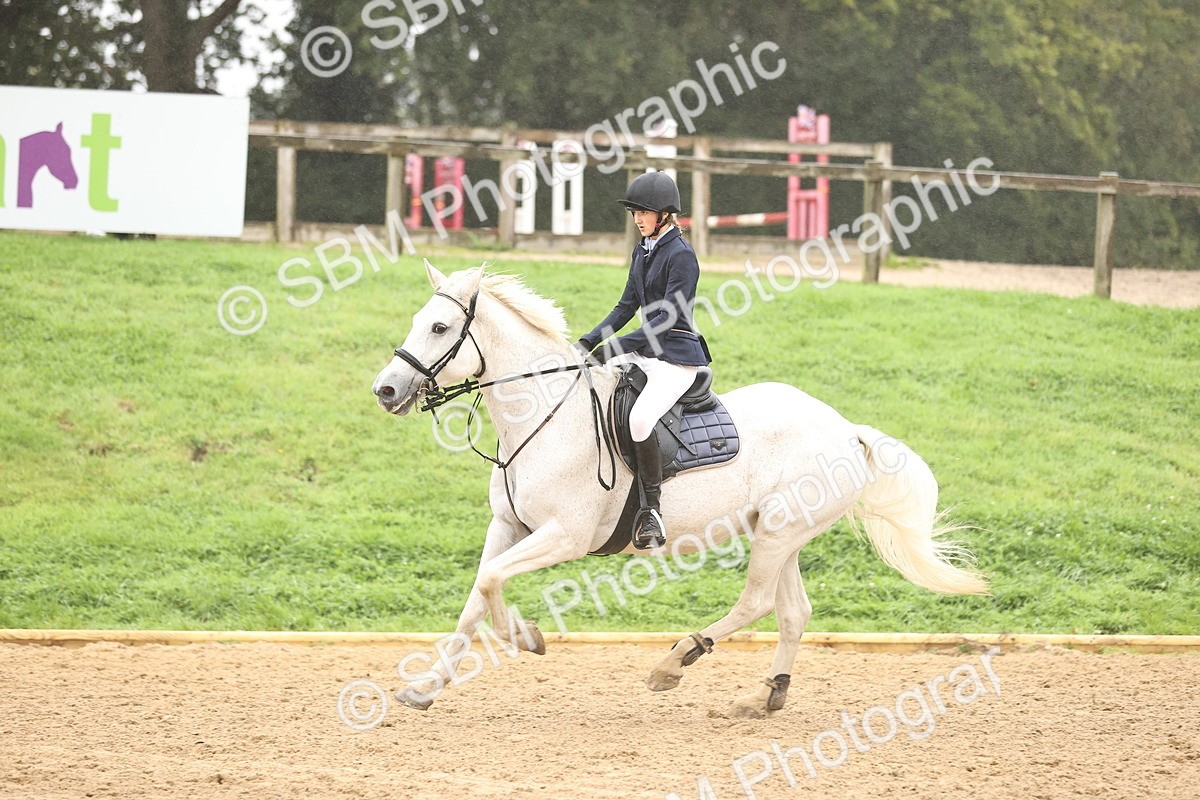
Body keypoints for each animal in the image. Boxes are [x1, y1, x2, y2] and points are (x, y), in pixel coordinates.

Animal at [372, 261, 988, 718]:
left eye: (440, 329)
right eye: (419, 320)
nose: (386, 390)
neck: (544, 415)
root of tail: (845, 428)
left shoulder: (564, 535)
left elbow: (493, 584)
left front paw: (526, 636)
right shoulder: (508, 527)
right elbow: (476, 597)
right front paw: (425, 688)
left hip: (779, 533)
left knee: (757, 602)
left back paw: (673, 663)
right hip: (782, 533)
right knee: (793, 612)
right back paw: (764, 696)